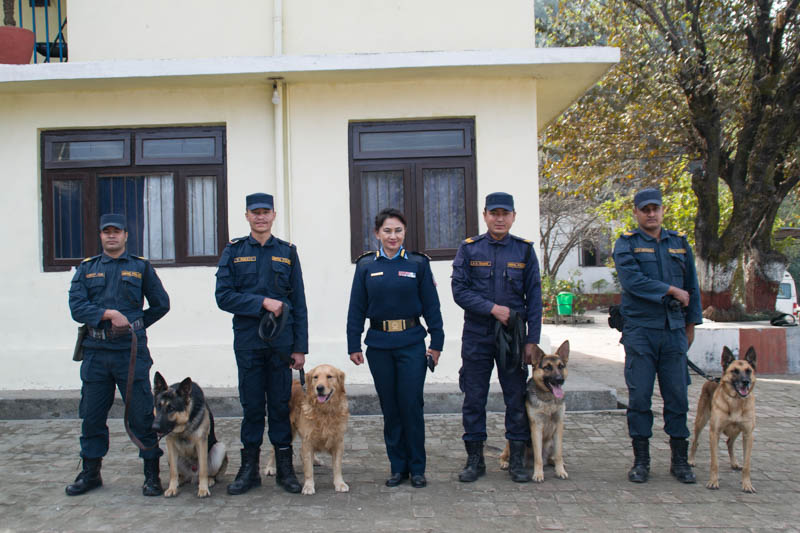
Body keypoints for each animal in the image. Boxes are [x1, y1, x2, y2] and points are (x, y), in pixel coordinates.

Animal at [264, 364, 348, 492]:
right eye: (315, 377)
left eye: (329, 376)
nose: (319, 388)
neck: (325, 411)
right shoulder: (307, 440)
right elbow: (308, 469)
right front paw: (308, 486)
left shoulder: (338, 440)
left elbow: (337, 466)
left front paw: (340, 483)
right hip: (288, 428)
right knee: (275, 448)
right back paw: (269, 467)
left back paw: (315, 460)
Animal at [500, 340, 568, 482]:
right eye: (547, 367)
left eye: (561, 366)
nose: (560, 379)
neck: (548, 400)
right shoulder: (536, 427)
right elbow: (538, 458)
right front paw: (538, 474)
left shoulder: (559, 426)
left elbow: (559, 454)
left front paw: (560, 471)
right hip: (510, 442)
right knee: (504, 454)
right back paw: (505, 463)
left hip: (551, 442)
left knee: (552, 457)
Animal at [688, 344, 756, 490]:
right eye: (735, 371)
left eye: (748, 371)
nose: (746, 382)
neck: (736, 401)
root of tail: (713, 379)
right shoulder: (715, 433)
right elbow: (715, 462)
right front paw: (713, 482)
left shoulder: (748, 434)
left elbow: (747, 465)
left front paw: (747, 484)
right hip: (701, 421)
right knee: (695, 441)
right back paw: (691, 460)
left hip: (736, 431)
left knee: (729, 442)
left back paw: (734, 463)